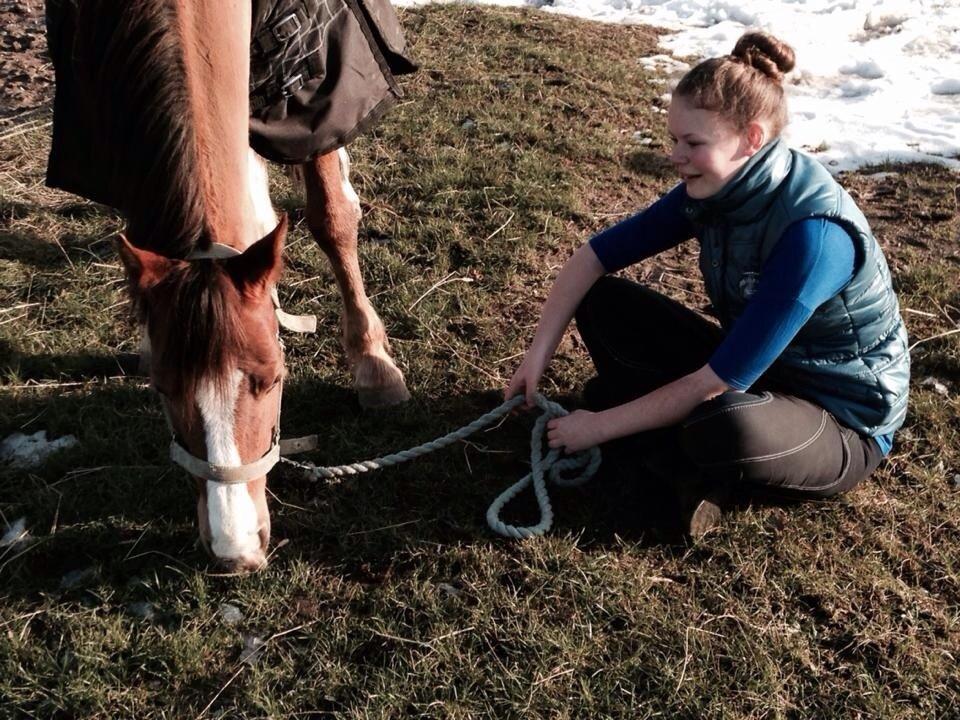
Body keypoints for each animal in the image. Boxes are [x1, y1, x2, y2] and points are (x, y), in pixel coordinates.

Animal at [44, 0, 415, 572]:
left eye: (275, 378)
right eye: (161, 389)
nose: (234, 551)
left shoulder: (312, 99)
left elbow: (331, 217)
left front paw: (374, 366)